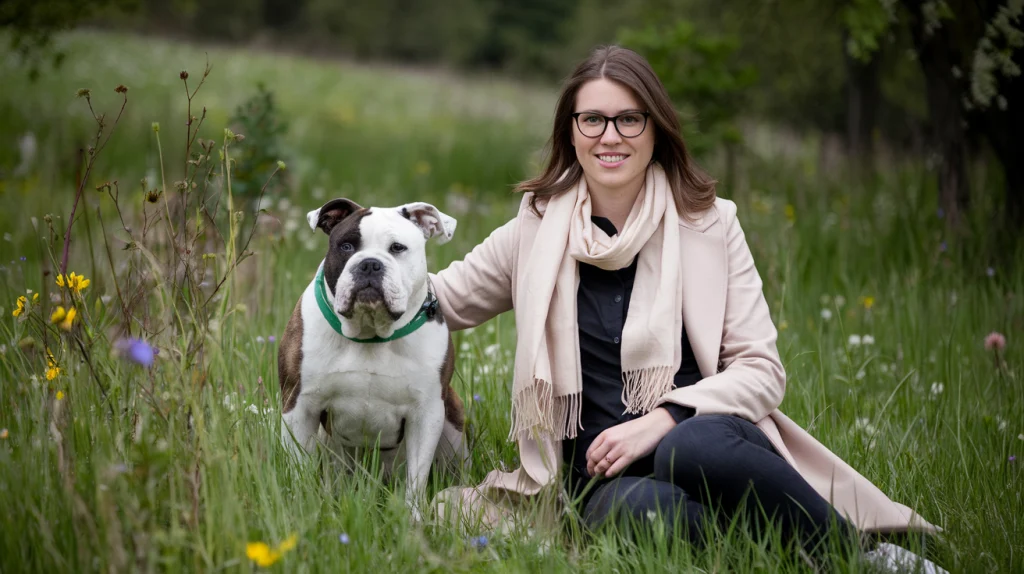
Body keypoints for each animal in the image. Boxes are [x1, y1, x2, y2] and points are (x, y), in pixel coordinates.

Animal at [280, 199, 468, 511]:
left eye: (397, 248)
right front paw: (300, 507)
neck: (370, 331)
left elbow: (416, 479)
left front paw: (413, 519)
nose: (369, 264)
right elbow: (297, 467)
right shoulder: (299, 405)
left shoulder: (426, 412)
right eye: (346, 246)